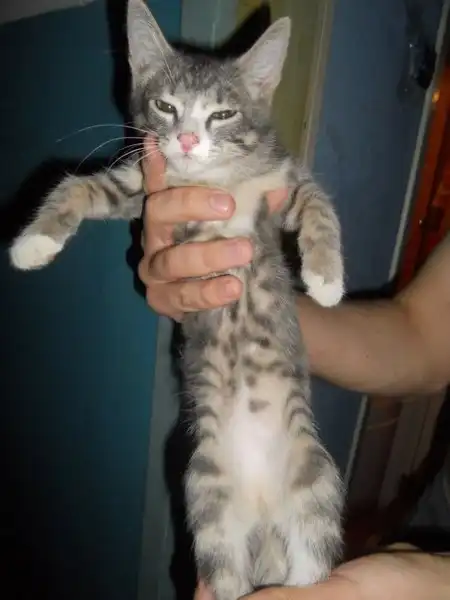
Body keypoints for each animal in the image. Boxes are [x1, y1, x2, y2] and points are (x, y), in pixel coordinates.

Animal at [9, 1, 346, 598]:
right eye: (166, 106)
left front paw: (327, 278)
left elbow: (320, 206)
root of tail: (263, 509)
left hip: (316, 481)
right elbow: (77, 186)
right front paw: (33, 243)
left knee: (313, 555)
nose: (187, 140)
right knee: (226, 568)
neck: (217, 177)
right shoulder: (143, 182)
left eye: (223, 115)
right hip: (206, 493)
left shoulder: (282, 183)